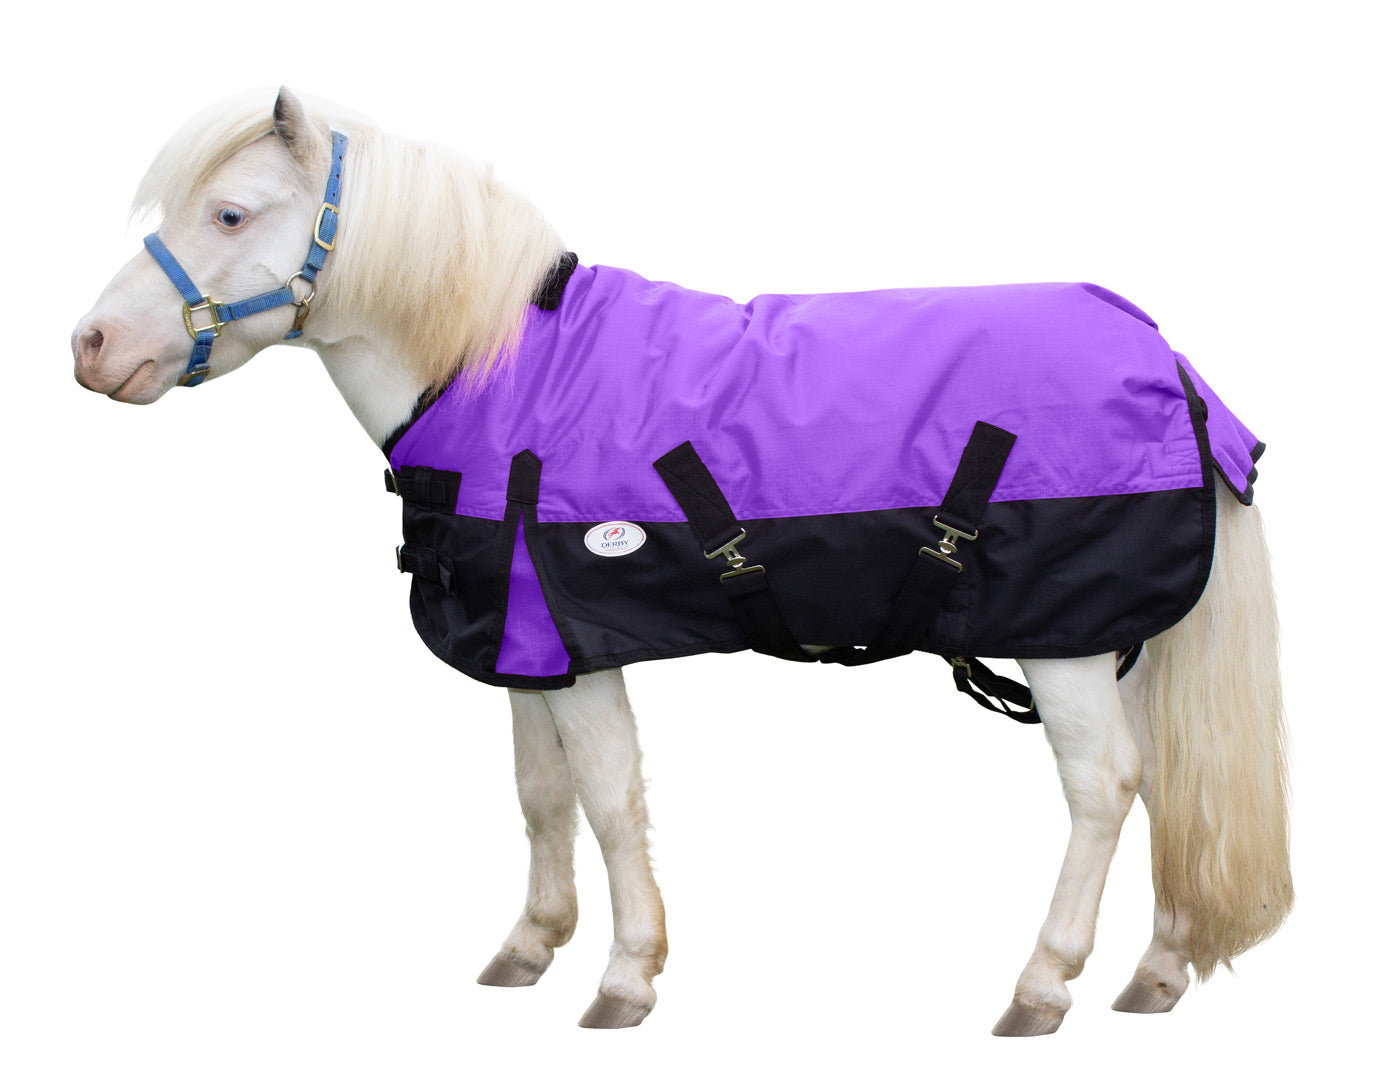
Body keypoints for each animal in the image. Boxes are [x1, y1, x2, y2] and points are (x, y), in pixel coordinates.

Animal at [71, 87, 1292, 1035]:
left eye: (231, 211)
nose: (91, 345)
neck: (498, 370)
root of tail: (1173, 368)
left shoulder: (575, 636)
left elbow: (609, 796)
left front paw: (624, 978)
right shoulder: (528, 646)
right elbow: (540, 795)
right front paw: (530, 944)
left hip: (1061, 639)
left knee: (1105, 784)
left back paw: (1041, 985)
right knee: (1169, 783)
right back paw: (1155, 971)